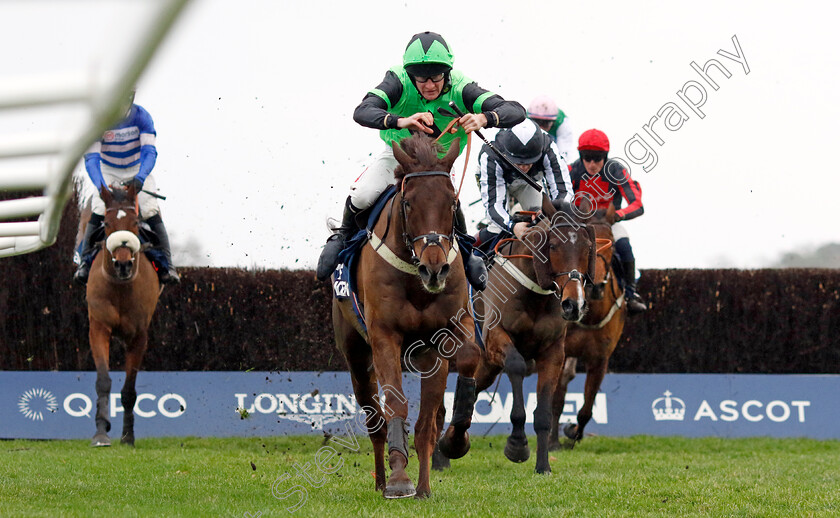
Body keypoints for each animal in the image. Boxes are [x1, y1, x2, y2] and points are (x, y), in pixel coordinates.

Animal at [87, 186, 161, 446]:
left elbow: (129, 390)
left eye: (135, 223)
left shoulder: (139, 336)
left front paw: (128, 436)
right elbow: (103, 381)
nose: (122, 265)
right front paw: (101, 432)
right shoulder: (98, 327)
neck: (120, 287)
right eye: (107, 223)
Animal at [334, 136, 480, 502]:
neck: (416, 282)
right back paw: (380, 481)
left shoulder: (442, 337)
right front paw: (400, 479)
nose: (435, 269)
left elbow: (430, 418)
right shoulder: (385, 335)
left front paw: (435, 470)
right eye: (409, 203)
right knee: (374, 420)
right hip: (356, 356)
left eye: (452, 204)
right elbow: (396, 405)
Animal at [466, 199, 596, 476]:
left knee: (471, 389)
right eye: (553, 245)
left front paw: (543, 466)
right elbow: (517, 367)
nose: (574, 305)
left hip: (487, 365)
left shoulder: (553, 352)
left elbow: (544, 413)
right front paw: (517, 445)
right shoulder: (495, 337)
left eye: (587, 246)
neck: (533, 293)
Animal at [552, 205, 624, 448]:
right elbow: (556, 398)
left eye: (611, 243)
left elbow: (586, 408)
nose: (595, 286)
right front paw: (553, 440)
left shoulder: (600, 359)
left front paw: (574, 433)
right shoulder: (561, 352)